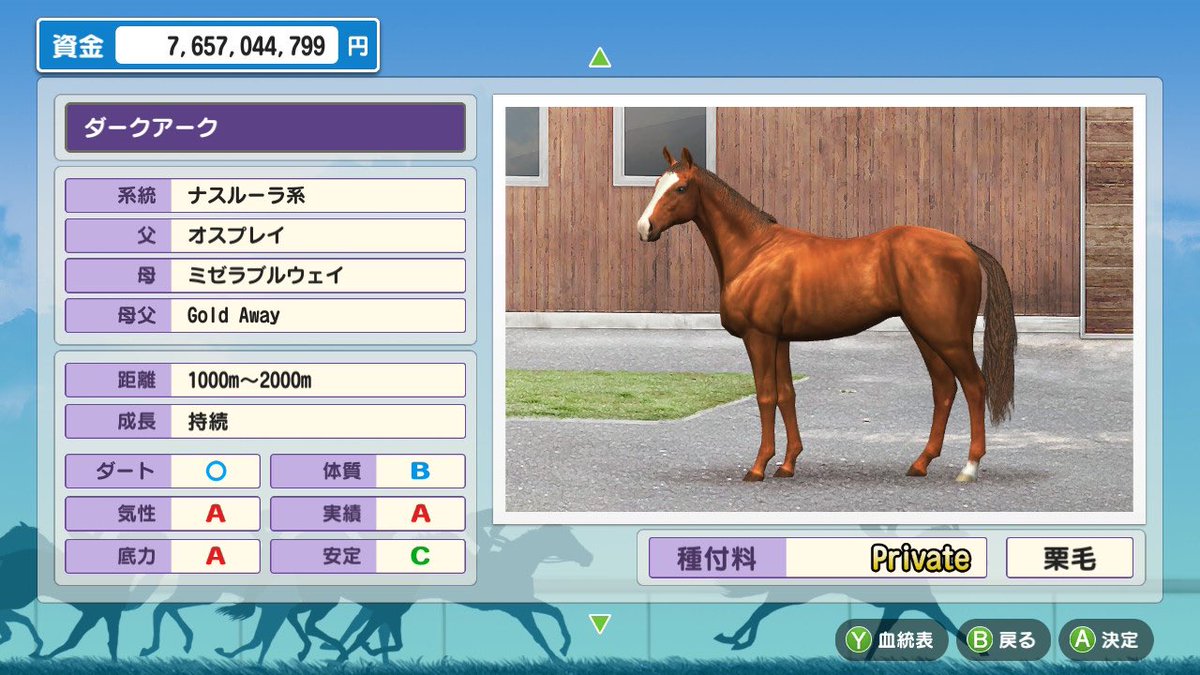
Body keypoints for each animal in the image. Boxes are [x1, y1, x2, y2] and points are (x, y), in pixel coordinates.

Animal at [637, 147, 1016, 483]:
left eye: (681, 188)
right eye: (657, 183)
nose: (644, 228)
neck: (755, 252)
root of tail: (964, 245)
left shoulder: (759, 338)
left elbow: (766, 396)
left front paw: (758, 467)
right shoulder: (780, 340)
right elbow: (786, 395)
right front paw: (788, 464)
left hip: (948, 337)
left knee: (974, 386)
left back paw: (969, 467)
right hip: (924, 333)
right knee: (944, 388)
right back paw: (920, 463)